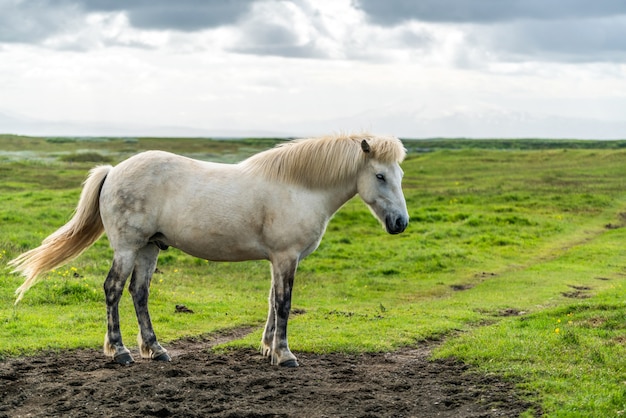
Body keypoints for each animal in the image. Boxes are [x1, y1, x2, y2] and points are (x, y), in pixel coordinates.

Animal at [12, 132, 410, 368]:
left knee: (139, 293)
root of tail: (113, 171)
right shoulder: (286, 257)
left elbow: (271, 300)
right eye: (380, 176)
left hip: (149, 249)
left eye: (400, 175)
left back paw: (156, 350)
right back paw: (121, 351)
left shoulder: (277, 259)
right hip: (127, 248)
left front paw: (267, 348)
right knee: (113, 290)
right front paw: (284, 355)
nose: (400, 223)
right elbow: (284, 303)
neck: (298, 187)